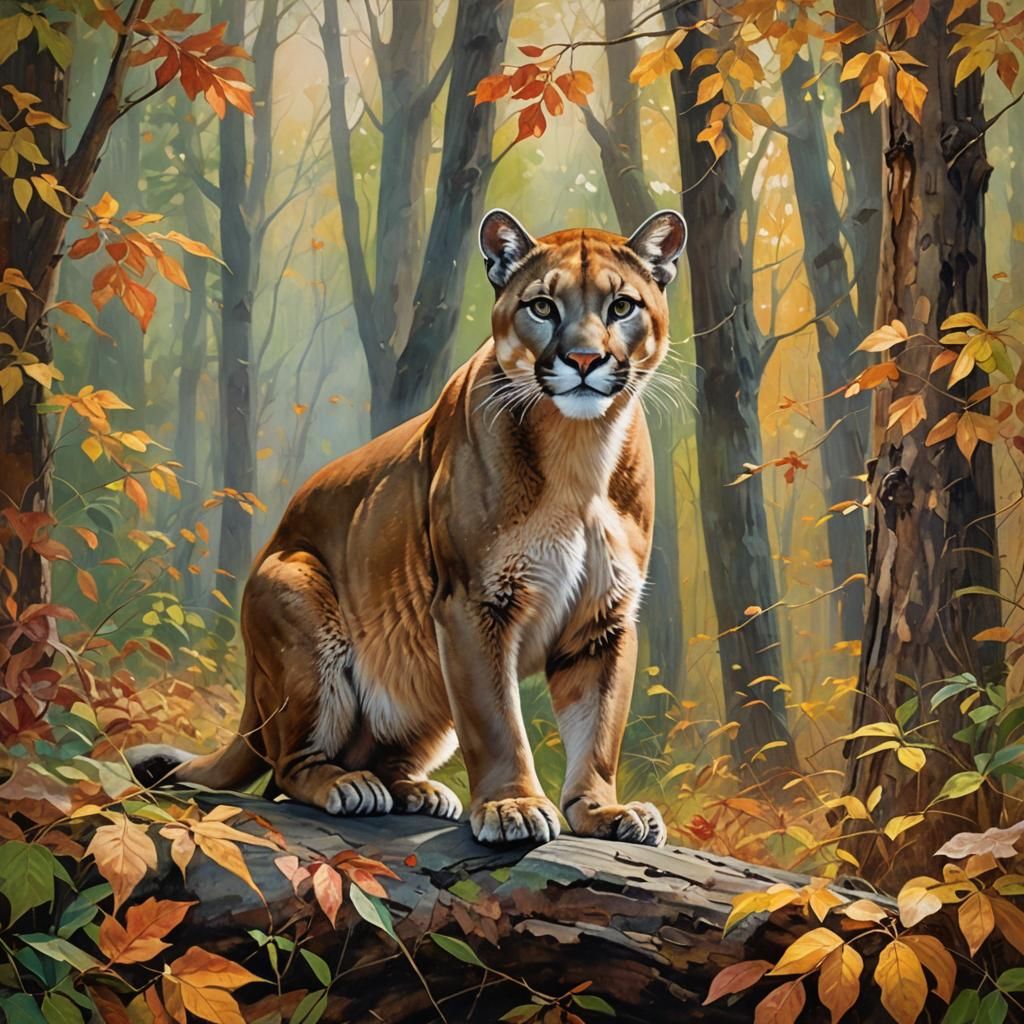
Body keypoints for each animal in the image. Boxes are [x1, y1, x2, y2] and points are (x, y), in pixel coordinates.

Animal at [128, 208, 687, 847]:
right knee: (286, 768)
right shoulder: (472, 601)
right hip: (296, 602)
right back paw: (348, 786)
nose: (586, 361)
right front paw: (514, 806)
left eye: (622, 306)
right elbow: (496, 720)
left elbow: (599, 729)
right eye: (543, 307)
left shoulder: (604, 618)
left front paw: (602, 812)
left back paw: (417, 790)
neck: (579, 448)